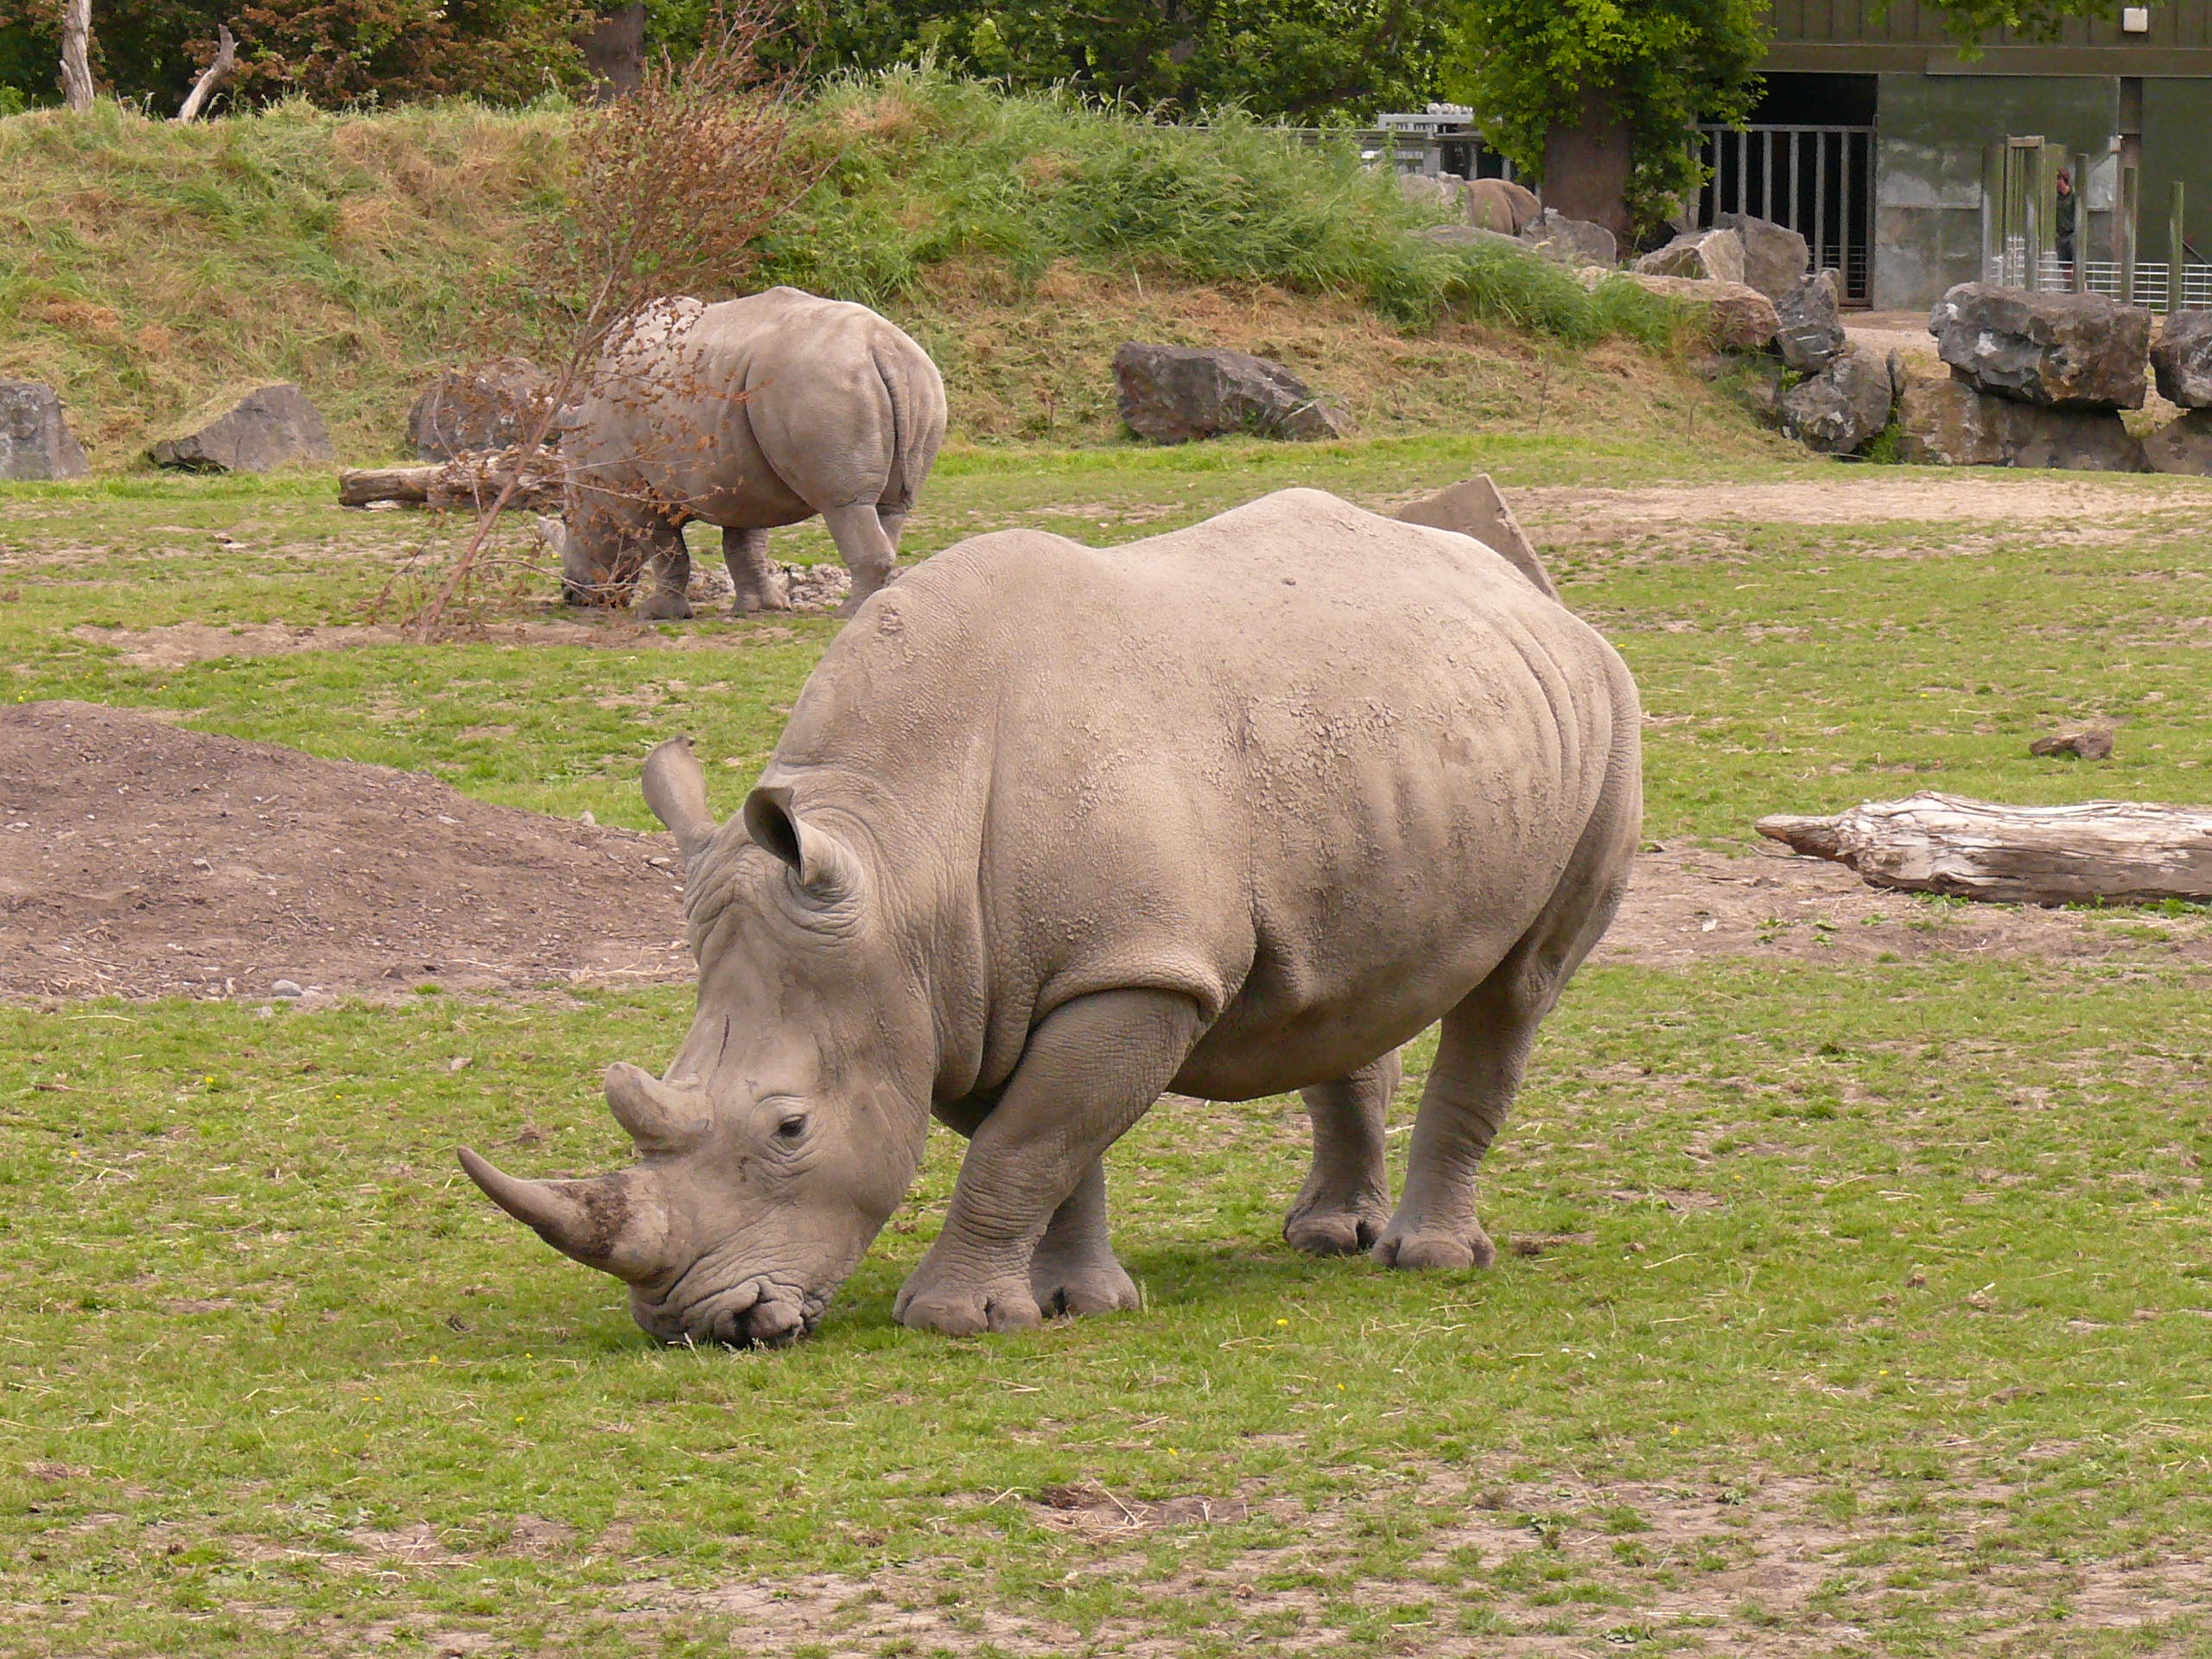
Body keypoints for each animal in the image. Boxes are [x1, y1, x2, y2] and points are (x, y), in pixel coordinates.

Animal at [461, 488, 1642, 1341]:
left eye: (789, 1127)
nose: (696, 1322)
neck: (897, 851)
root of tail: (1529, 591)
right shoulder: (962, 986)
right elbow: (1049, 1144)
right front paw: (1075, 1304)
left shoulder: (1128, 968)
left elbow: (1027, 1144)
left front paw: (953, 1321)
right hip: (1394, 741)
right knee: (1347, 985)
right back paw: (1327, 1238)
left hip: (1610, 711)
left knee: (1517, 991)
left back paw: (1426, 1260)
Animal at [543, 287, 947, 619]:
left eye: (566, 519)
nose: (571, 595)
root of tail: (882, 347)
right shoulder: (738, 475)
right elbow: (743, 545)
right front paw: (757, 608)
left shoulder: (632, 490)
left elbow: (665, 549)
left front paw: (657, 614)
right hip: (921, 380)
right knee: (891, 508)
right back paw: (878, 603)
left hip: (821, 384)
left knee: (846, 505)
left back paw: (848, 613)